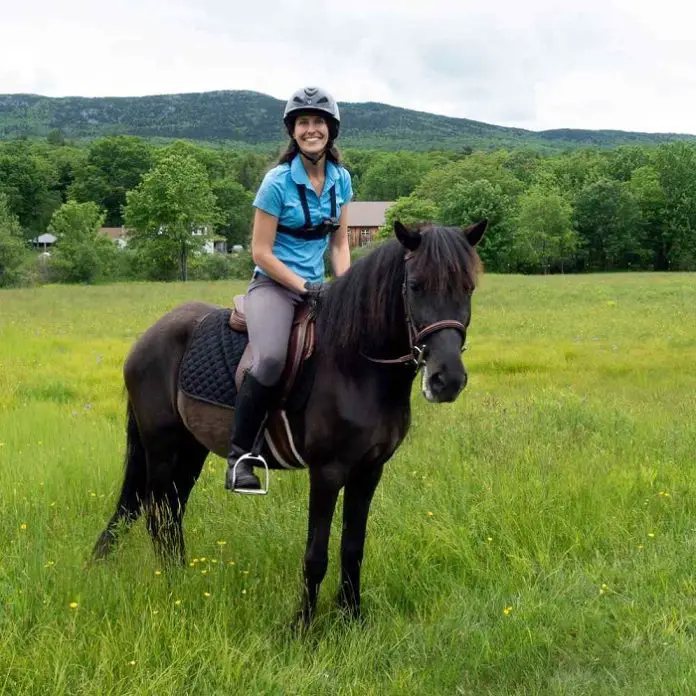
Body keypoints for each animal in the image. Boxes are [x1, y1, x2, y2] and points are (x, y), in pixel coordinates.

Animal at [92, 219, 487, 627]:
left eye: (468, 287)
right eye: (416, 285)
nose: (447, 379)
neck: (357, 365)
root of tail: (147, 339)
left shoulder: (369, 470)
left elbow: (353, 548)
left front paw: (352, 617)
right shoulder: (327, 472)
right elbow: (316, 555)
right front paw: (303, 625)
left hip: (190, 451)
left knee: (171, 513)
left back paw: (180, 578)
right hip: (163, 450)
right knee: (157, 516)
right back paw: (171, 585)